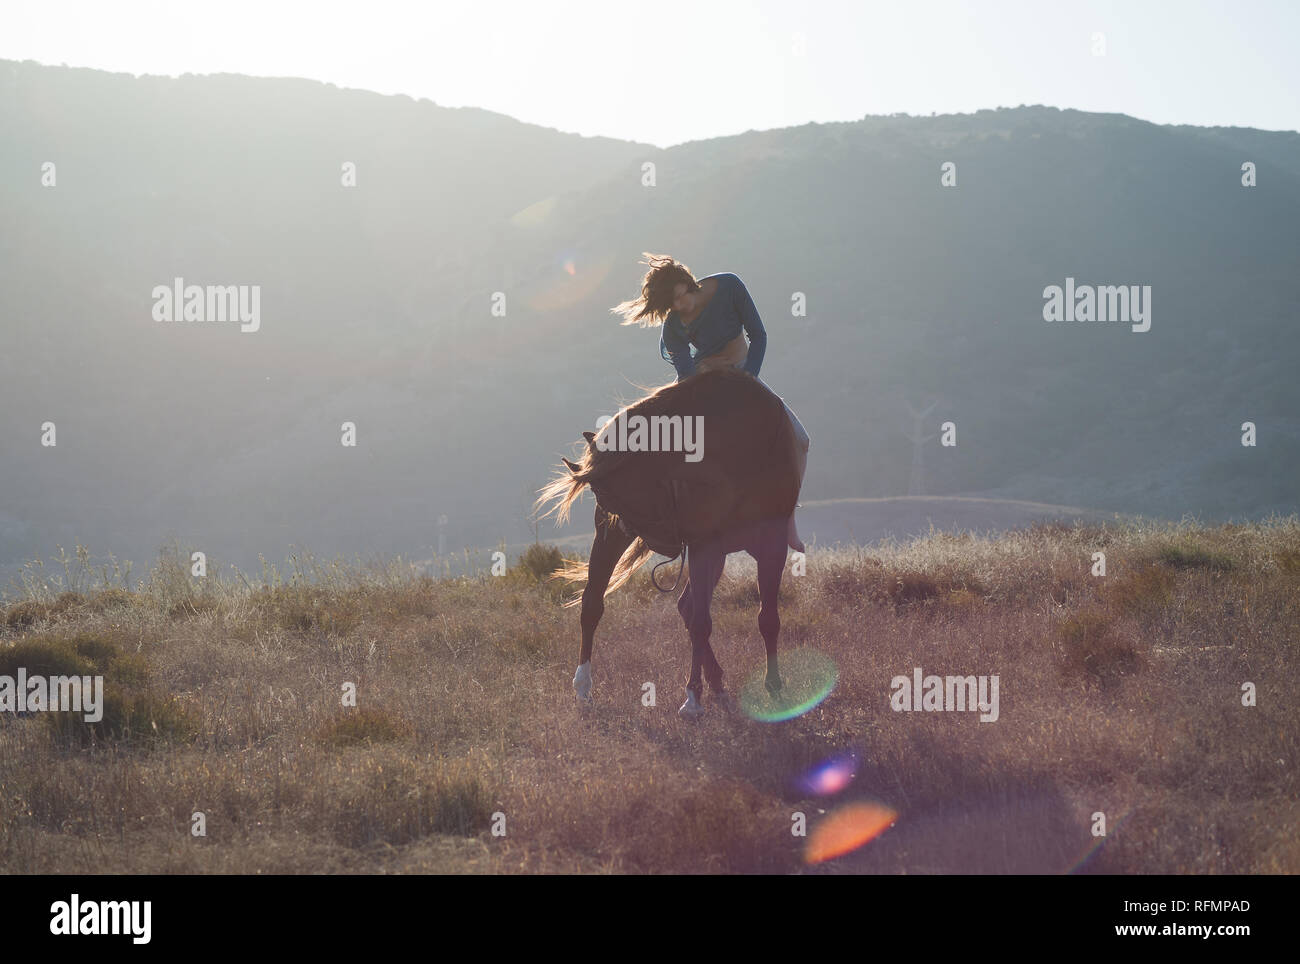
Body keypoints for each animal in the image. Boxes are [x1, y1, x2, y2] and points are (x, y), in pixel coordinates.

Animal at [533, 366, 795, 722]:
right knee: (595, 604)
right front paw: (693, 699)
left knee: (685, 606)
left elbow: (767, 618)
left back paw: (718, 686)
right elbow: (701, 622)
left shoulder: (771, 542)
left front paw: (775, 688)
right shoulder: (703, 544)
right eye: (602, 496)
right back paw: (585, 686)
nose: (623, 523)